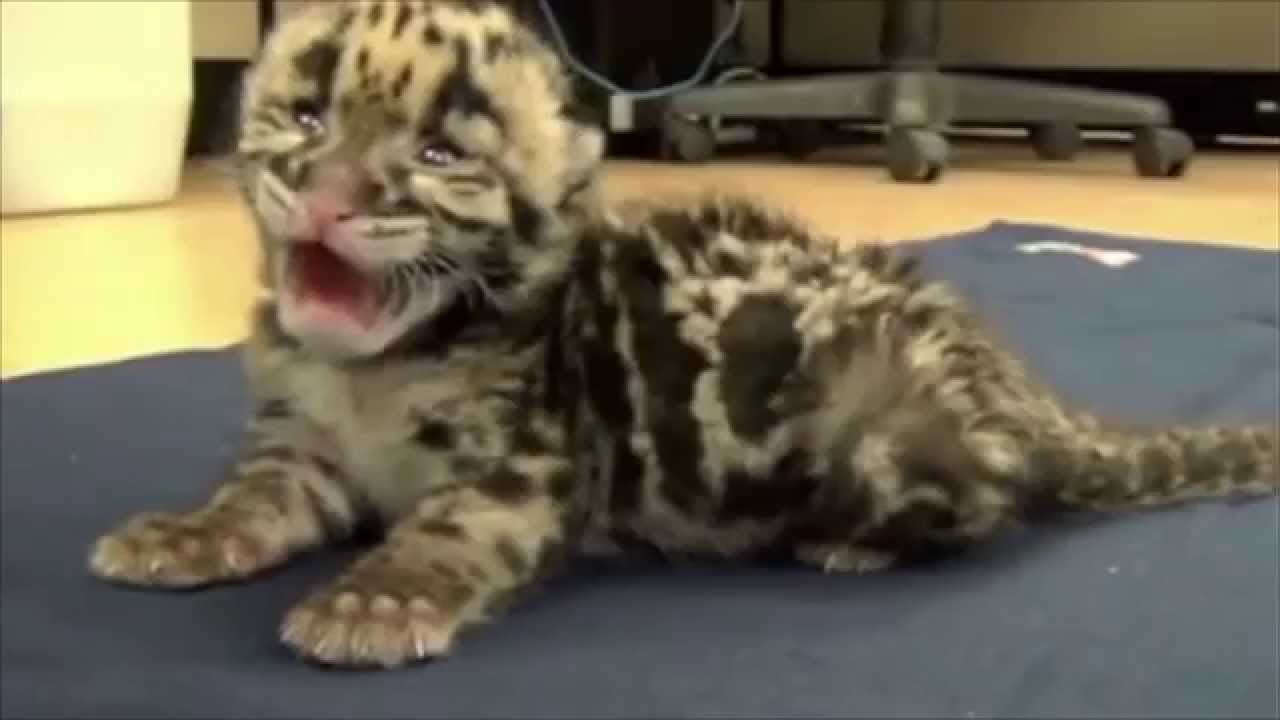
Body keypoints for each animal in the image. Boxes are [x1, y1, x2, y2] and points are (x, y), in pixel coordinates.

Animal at [88, 0, 1279, 669]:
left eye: (438, 157)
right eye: (305, 120)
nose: (330, 200)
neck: (371, 372)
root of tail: (1021, 390)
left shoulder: (520, 467)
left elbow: (448, 530)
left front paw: (375, 599)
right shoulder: (297, 444)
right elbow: (250, 498)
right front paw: (182, 535)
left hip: (885, 419)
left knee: (991, 508)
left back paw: (847, 543)